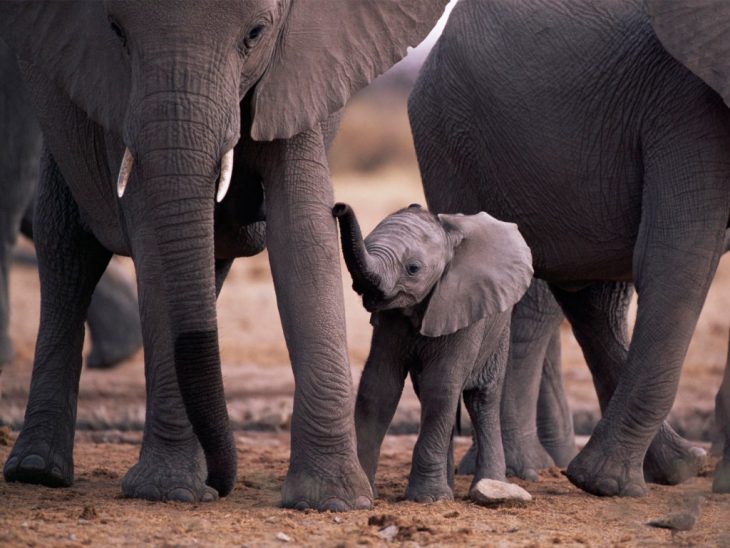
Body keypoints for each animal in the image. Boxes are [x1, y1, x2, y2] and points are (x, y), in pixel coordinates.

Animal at [332, 202, 532, 500]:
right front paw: (367, 492)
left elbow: (441, 385)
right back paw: (449, 486)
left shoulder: (463, 306)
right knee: (428, 394)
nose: (339, 207)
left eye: (413, 268)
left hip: (499, 328)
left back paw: (489, 485)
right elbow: (378, 387)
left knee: (481, 398)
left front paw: (428, 498)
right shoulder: (390, 321)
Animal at [410, 0, 728, 496]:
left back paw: (674, 468)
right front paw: (607, 486)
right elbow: (678, 259)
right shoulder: (687, 103)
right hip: (449, 137)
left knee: (595, 299)